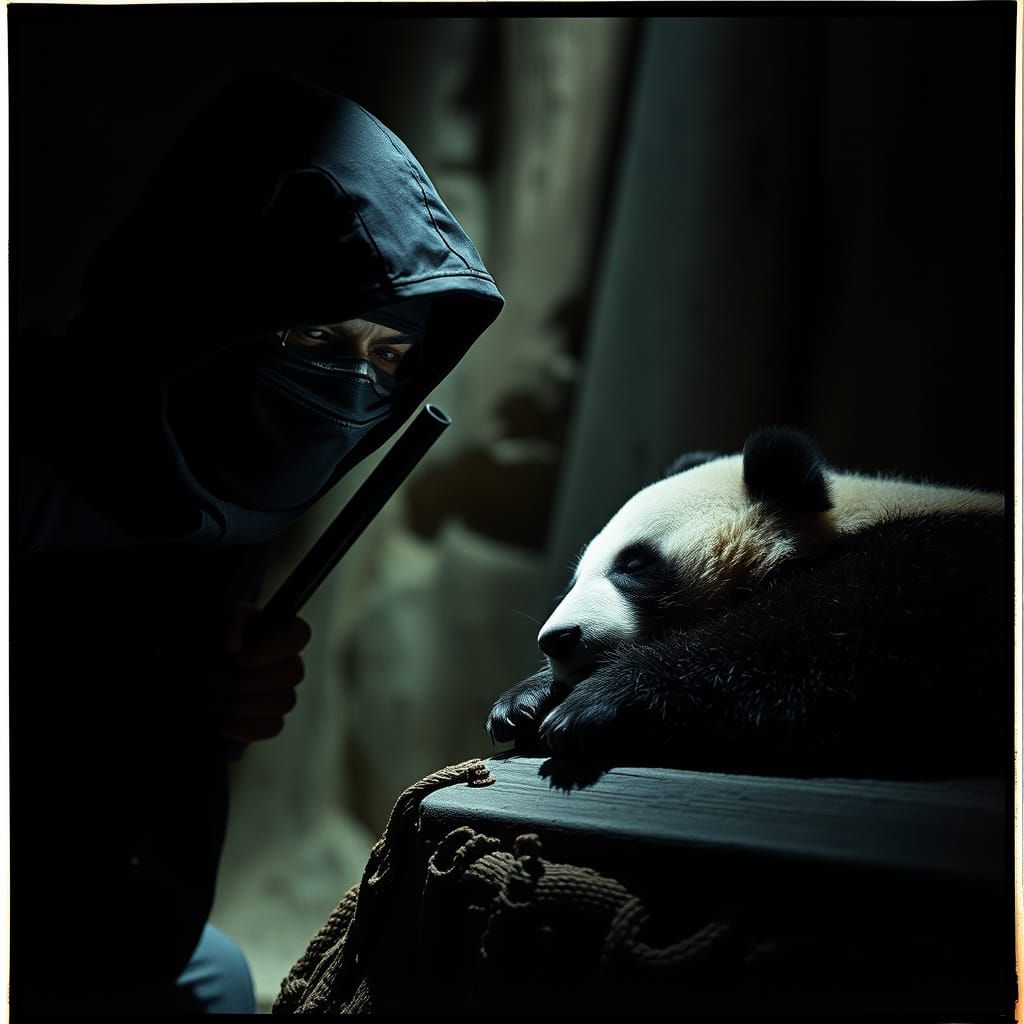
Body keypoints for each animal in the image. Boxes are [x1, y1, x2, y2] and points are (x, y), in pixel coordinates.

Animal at [486, 426, 1008, 777]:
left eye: (633, 564)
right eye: (574, 580)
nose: (557, 639)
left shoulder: (927, 571)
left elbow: (805, 640)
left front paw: (596, 702)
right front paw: (523, 702)